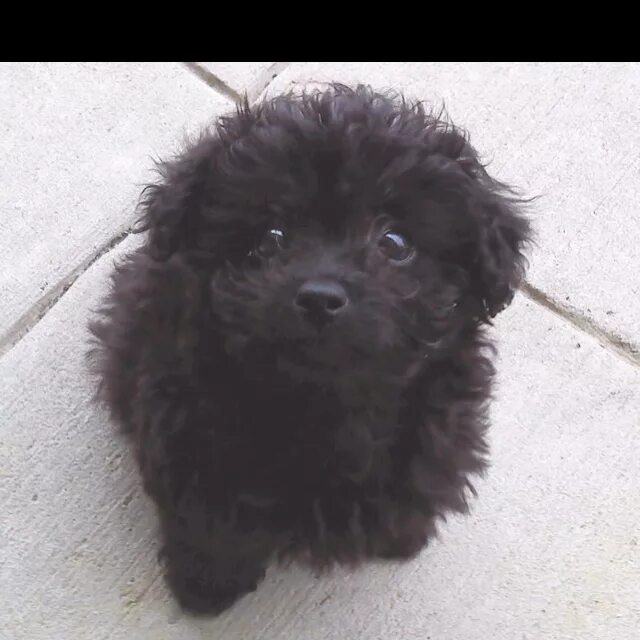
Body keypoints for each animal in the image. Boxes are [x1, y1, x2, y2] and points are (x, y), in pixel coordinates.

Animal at [90, 84, 528, 616]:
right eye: (271, 238)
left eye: (394, 242)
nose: (320, 297)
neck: (323, 404)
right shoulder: (194, 453)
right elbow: (212, 531)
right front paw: (206, 588)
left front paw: (402, 538)